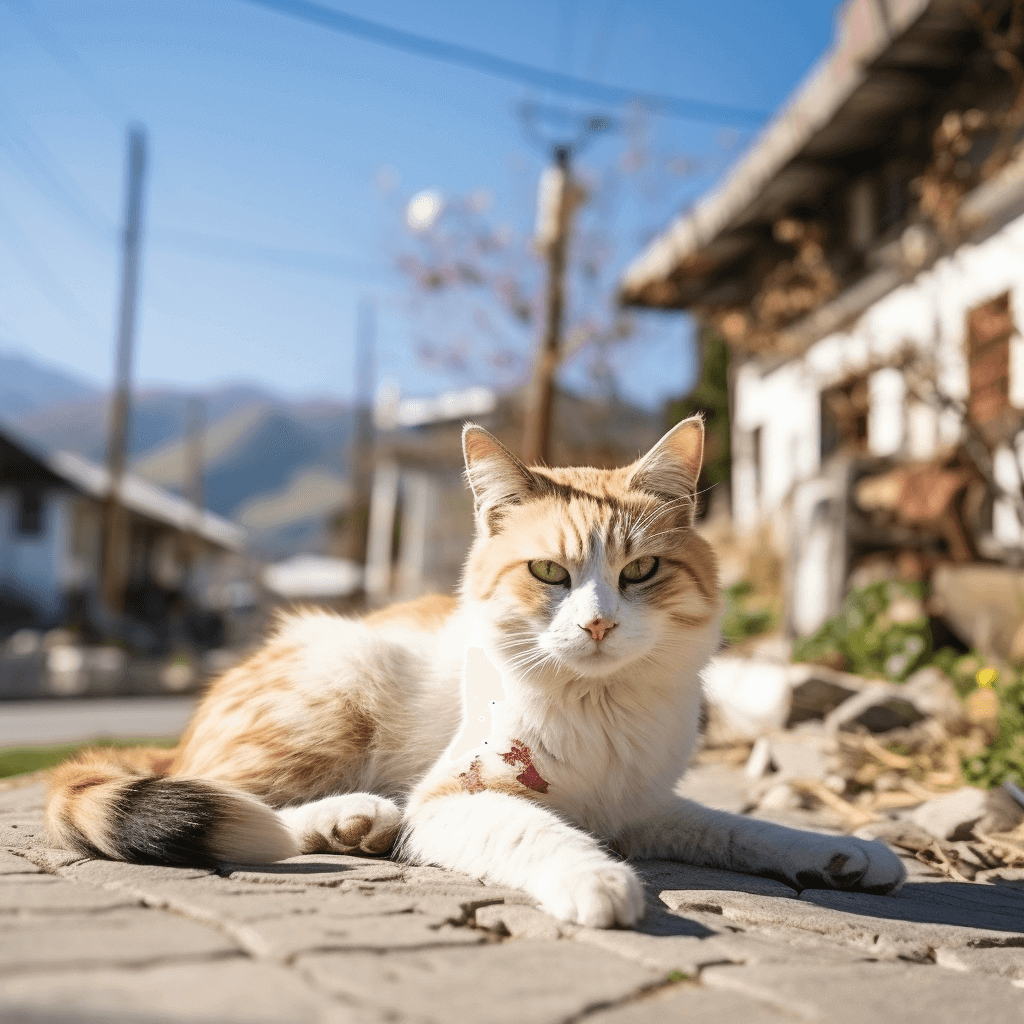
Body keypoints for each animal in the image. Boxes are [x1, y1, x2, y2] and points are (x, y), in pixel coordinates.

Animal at [46, 415, 905, 929]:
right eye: (549, 570)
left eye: (642, 571)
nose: (598, 623)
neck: (599, 706)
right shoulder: (450, 799)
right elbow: (533, 828)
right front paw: (596, 881)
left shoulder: (642, 807)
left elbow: (736, 827)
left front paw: (841, 851)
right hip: (338, 690)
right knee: (230, 798)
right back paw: (351, 817)